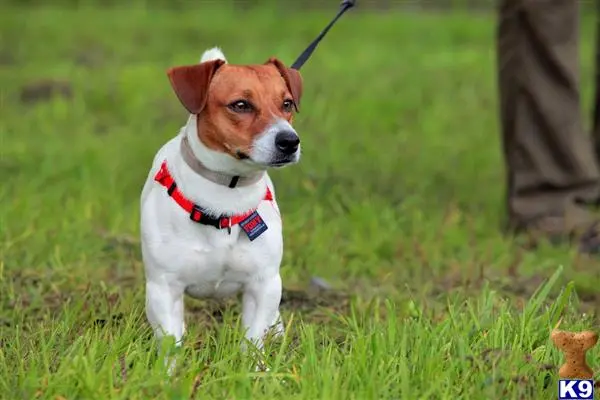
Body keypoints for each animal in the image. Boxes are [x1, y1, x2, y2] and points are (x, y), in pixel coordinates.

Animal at [139, 47, 302, 360]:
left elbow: (253, 341)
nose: (290, 141)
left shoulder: (262, 284)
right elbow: (171, 344)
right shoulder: (164, 289)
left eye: (287, 103)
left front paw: (254, 369)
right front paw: (168, 372)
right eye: (240, 105)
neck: (226, 193)